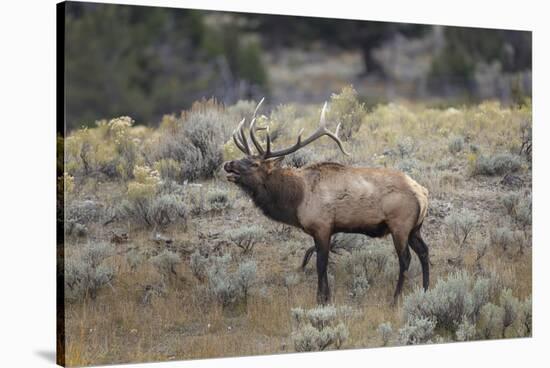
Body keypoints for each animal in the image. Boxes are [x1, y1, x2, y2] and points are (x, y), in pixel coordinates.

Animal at [224, 99, 432, 304]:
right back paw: (425, 290)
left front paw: (321, 299)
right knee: (424, 251)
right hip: (415, 227)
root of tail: (422, 192)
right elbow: (320, 263)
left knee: (405, 258)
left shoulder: (322, 226)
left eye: (255, 164)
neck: (297, 199)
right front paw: (327, 296)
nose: (228, 164)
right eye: (243, 158)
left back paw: (395, 299)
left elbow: (321, 264)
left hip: (400, 225)